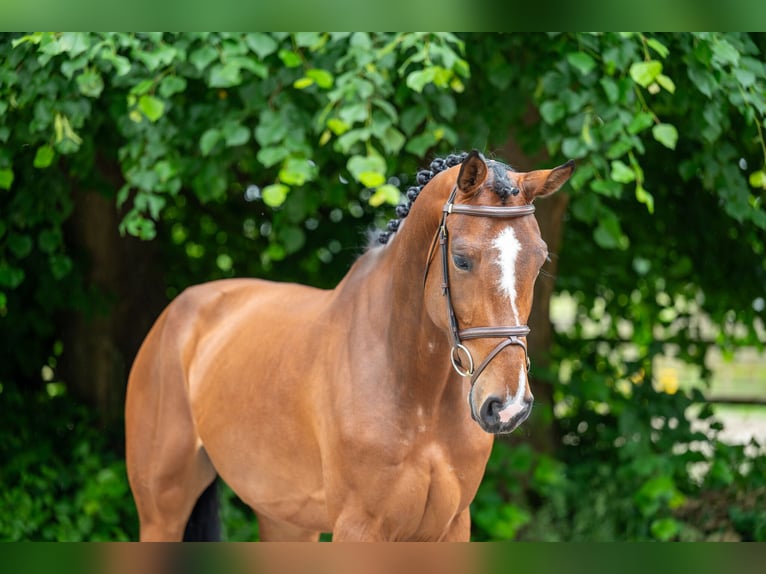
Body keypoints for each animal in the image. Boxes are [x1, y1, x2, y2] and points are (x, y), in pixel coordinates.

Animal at [126, 151, 572, 544]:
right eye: (462, 260)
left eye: (539, 260)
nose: (507, 405)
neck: (416, 396)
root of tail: (177, 313)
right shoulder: (359, 526)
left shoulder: (449, 527)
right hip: (162, 512)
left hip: (284, 519)